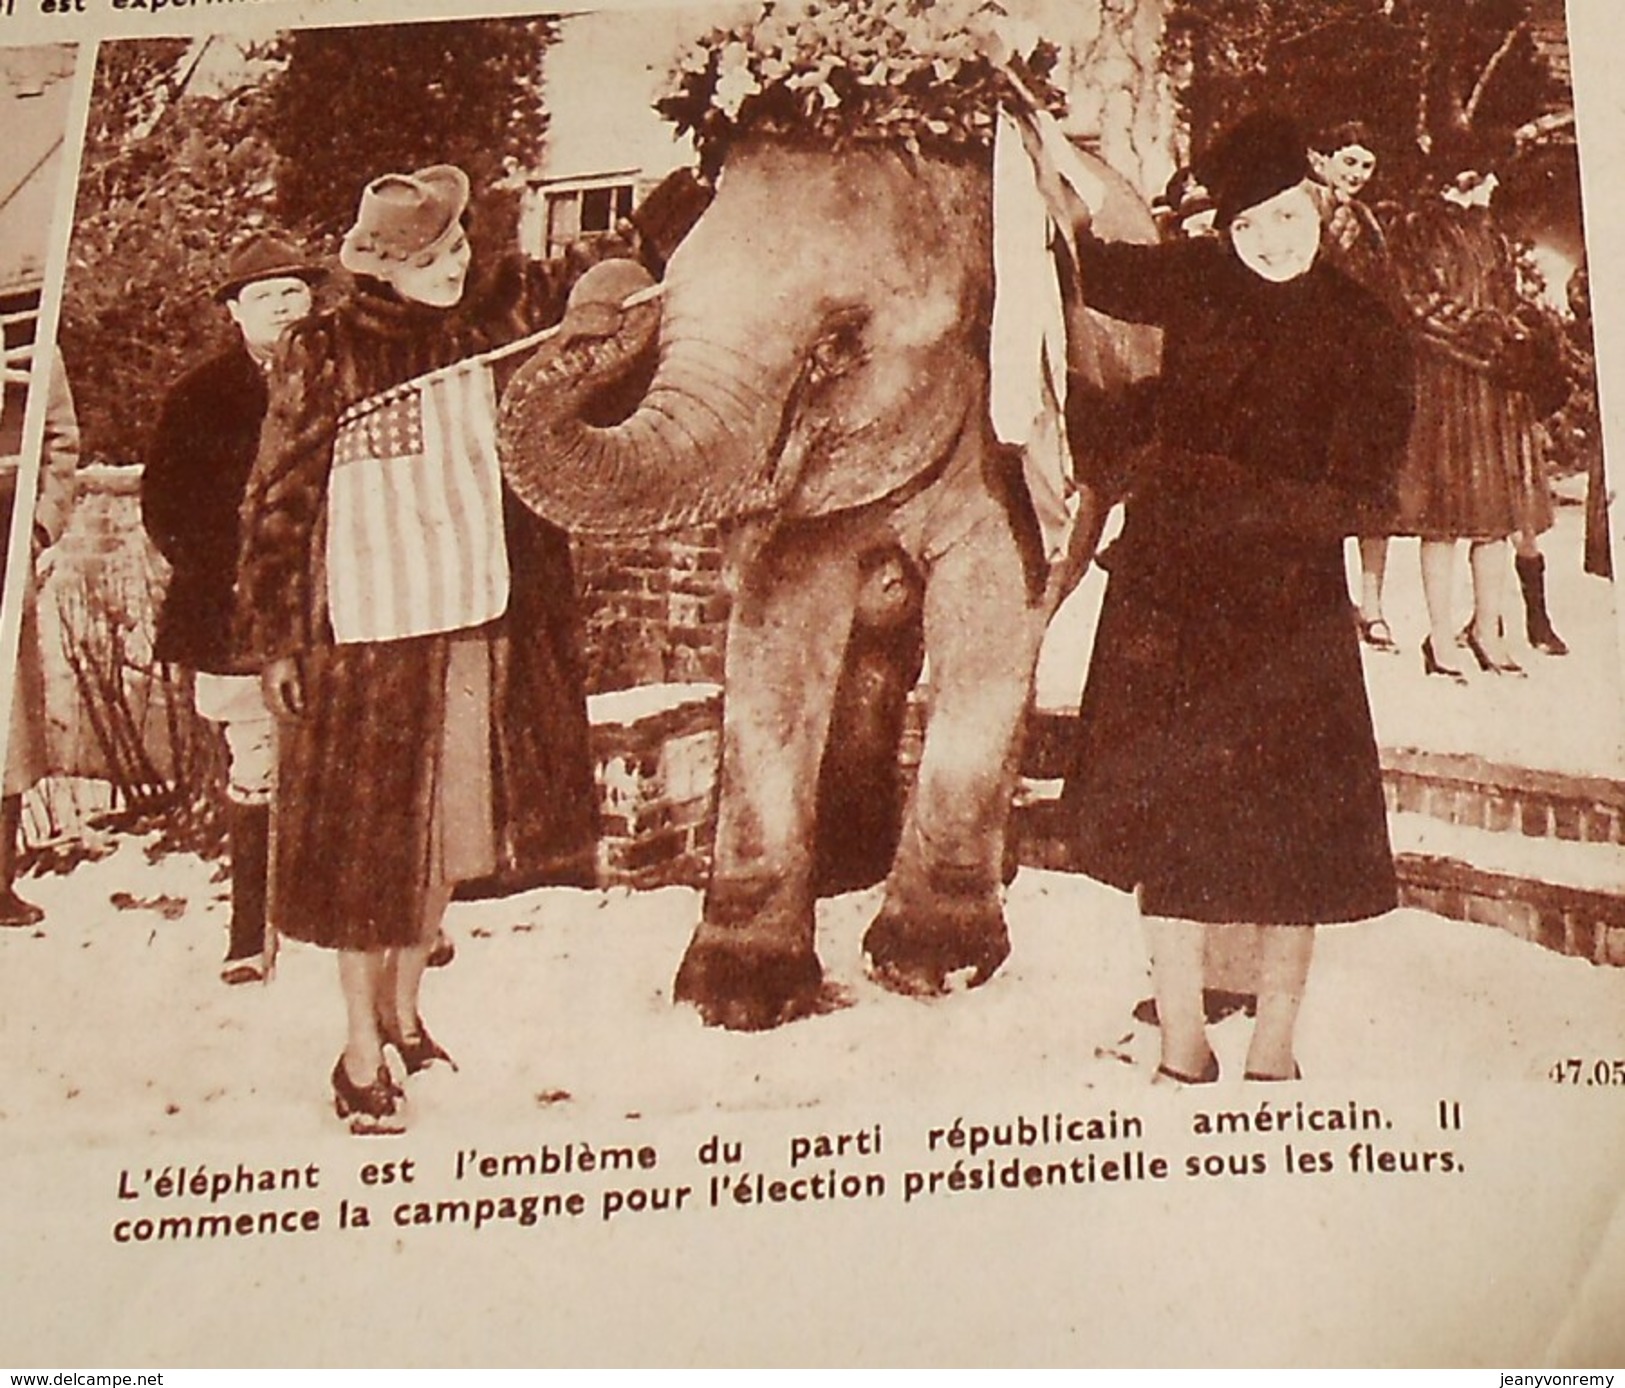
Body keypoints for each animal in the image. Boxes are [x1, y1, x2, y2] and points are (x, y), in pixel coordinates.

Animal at [497, 135, 1157, 1027]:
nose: (606, 293)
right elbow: (777, 629)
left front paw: (930, 964)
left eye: (838, 343)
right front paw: (738, 991)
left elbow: (989, 616)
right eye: (670, 296)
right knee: (878, 650)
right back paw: (847, 864)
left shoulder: (1011, 454)